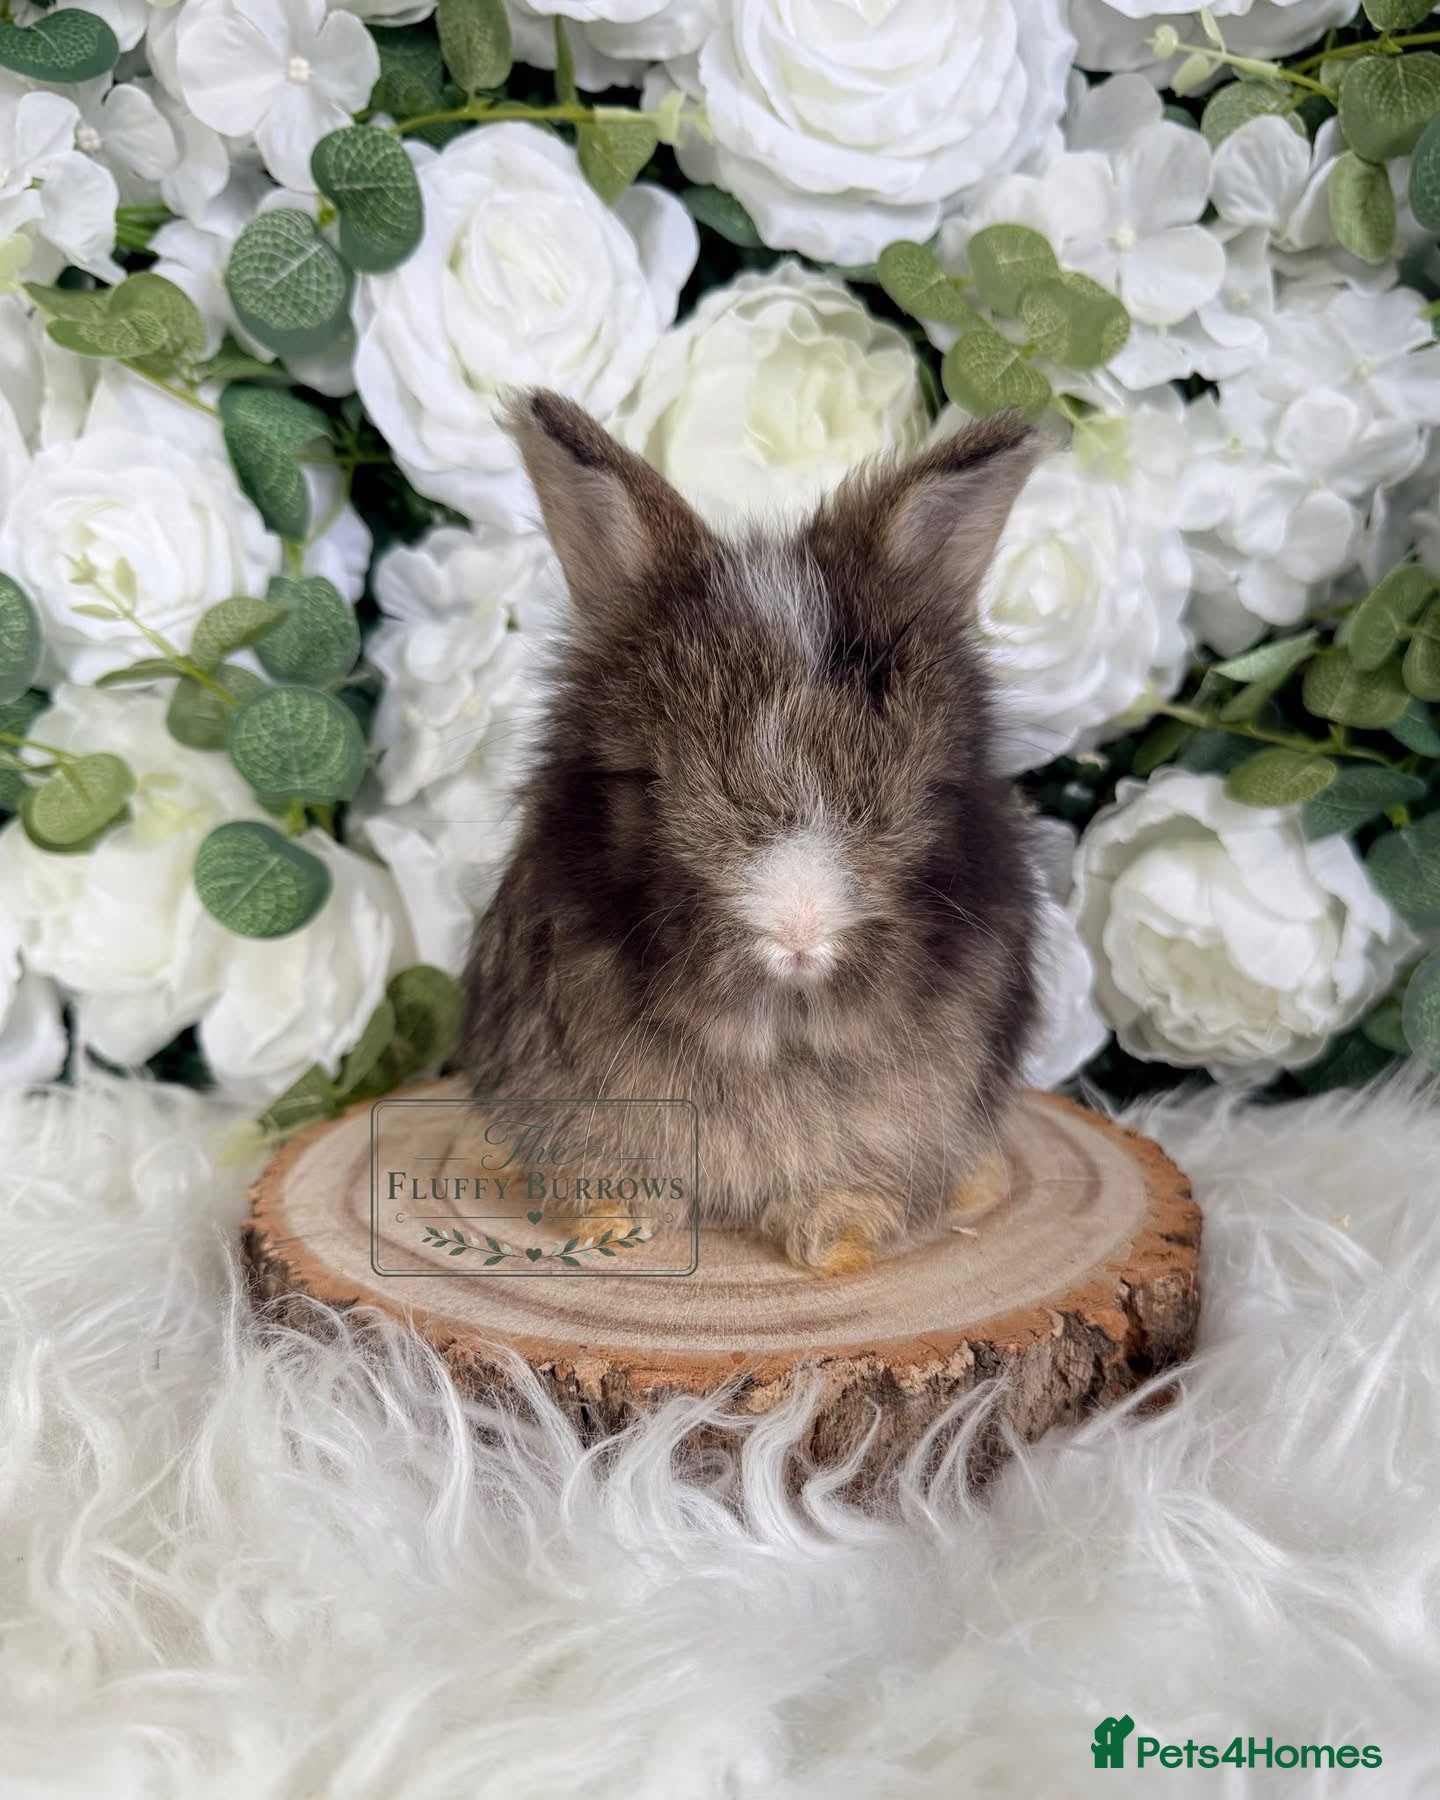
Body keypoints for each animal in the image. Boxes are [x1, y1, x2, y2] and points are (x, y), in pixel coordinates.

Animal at [457, 389, 1042, 1276]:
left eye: (920, 788)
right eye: (649, 781)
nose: (799, 931)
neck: (777, 1039)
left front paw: (836, 1240)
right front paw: (610, 1227)